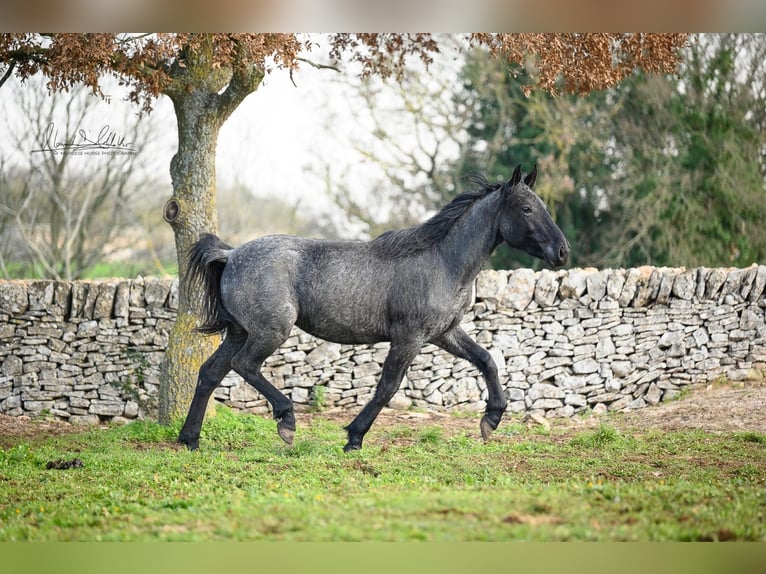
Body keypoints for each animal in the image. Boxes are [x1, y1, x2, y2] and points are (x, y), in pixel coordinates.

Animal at [177, 166, 568, 454]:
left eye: (544, 206)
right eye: (527, 208)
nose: (562, 252)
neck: (443, 262)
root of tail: (230, 255)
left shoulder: (445, 333)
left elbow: (487, 360)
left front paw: (491, 420)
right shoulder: (409, 337)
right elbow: (388, 387)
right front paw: (354, 437)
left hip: (240, 331)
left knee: (210, 372)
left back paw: (189, 440)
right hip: (269, 331)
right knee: (245, 365)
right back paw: (286, 422)